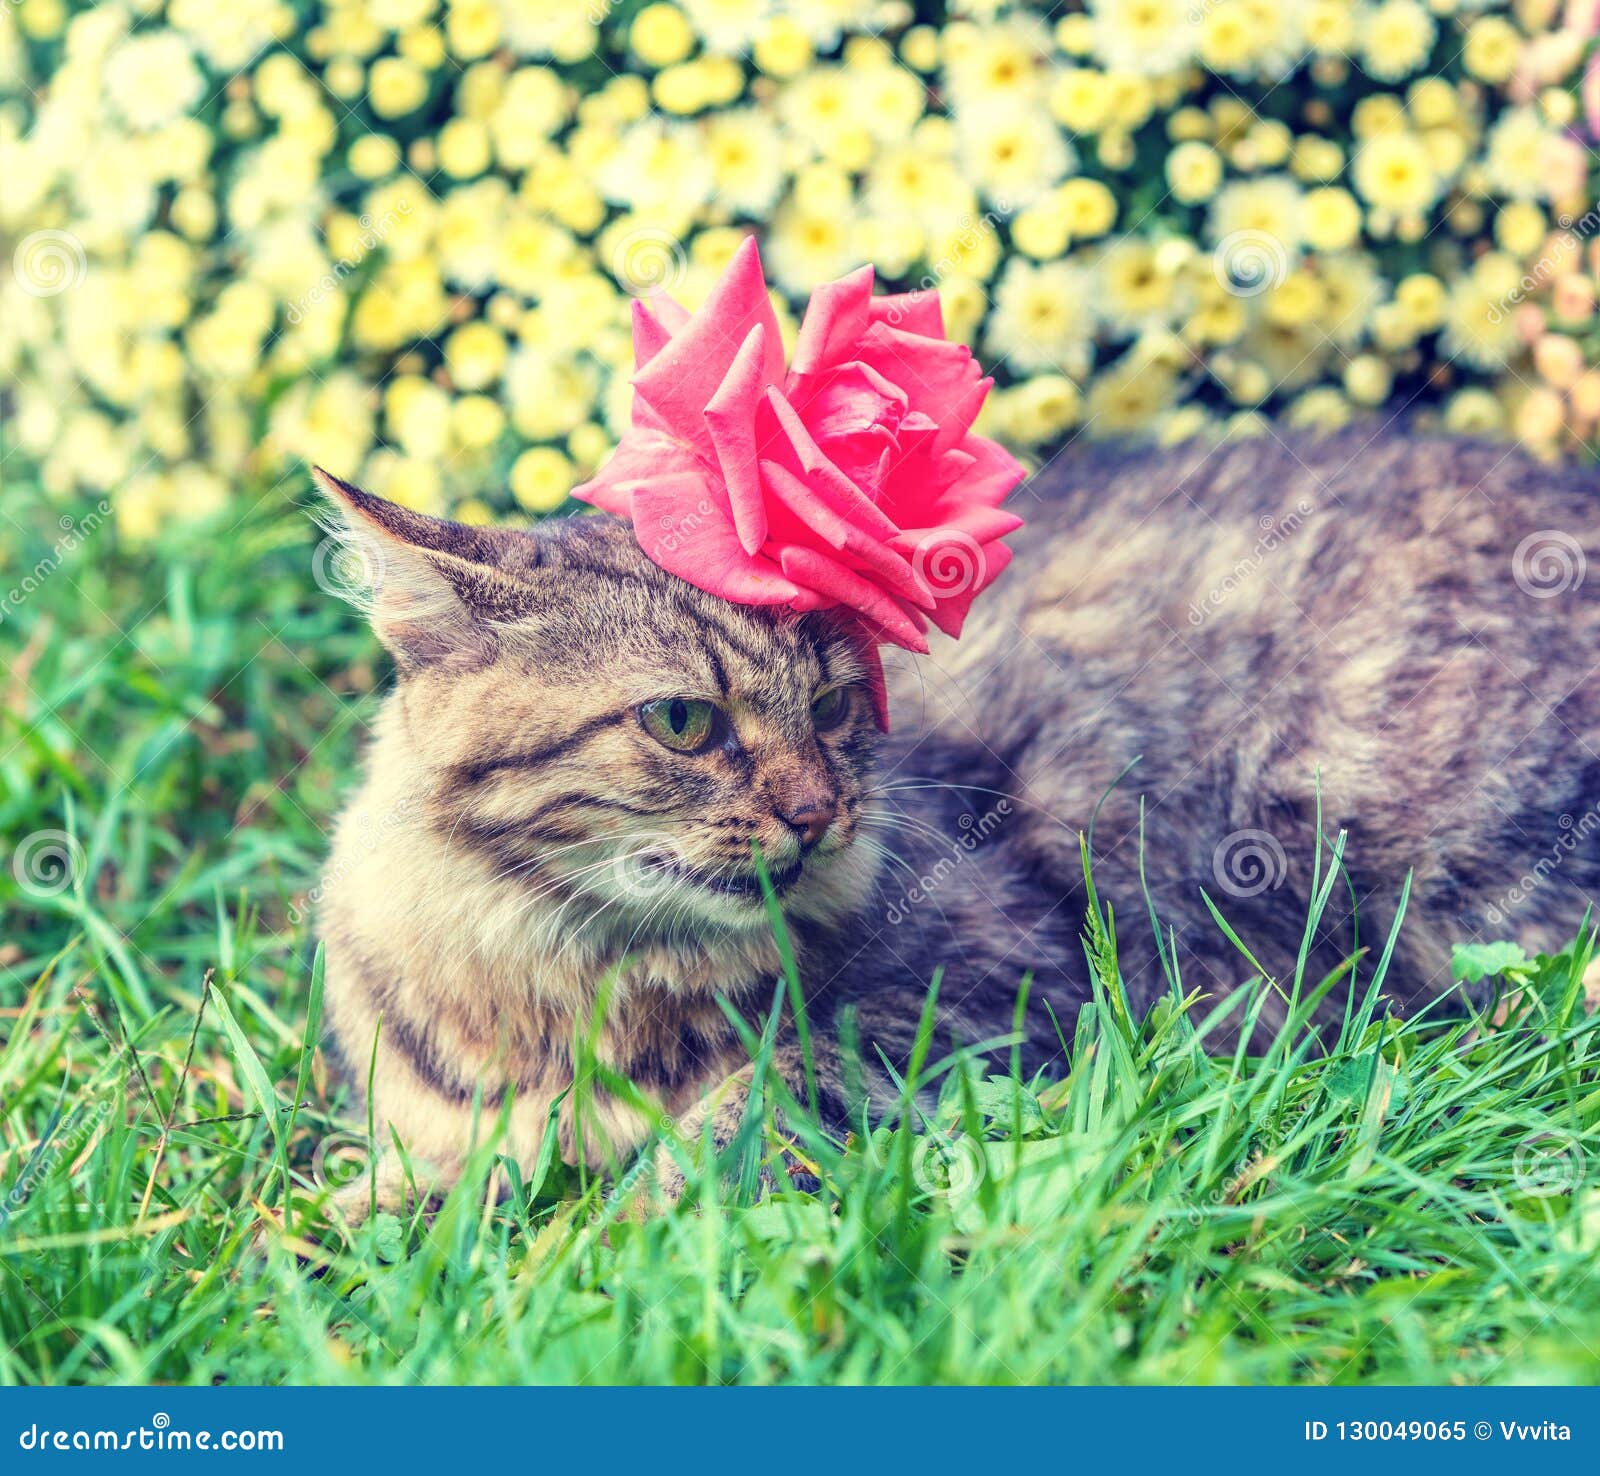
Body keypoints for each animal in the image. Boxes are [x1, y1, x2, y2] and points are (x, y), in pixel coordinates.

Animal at [308, 419, 1600, 1203]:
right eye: (682, 722)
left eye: (833, 706)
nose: (818, 813)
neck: (578, 979)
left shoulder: (1006, 987)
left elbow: (757, 1099)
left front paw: (630, 1224)